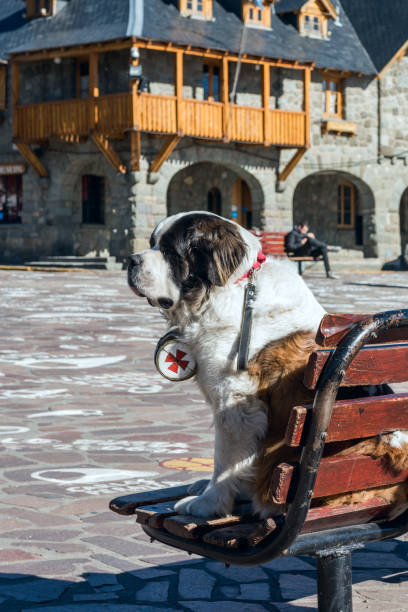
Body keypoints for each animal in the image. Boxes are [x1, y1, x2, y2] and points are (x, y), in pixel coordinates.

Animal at [127, 210, 408, 516]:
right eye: (152, 243)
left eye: (168, 251)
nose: (130, 260)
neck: (232, 289)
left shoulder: (236, 403)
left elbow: (225, 461)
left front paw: (209, 503)